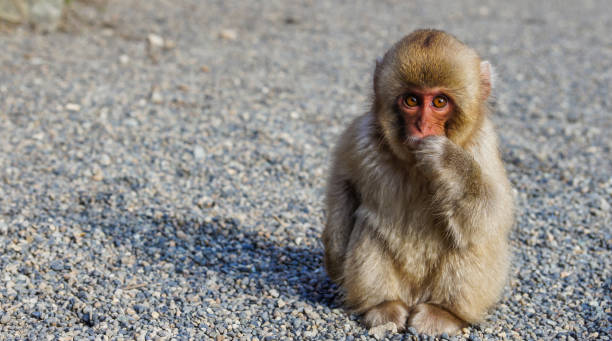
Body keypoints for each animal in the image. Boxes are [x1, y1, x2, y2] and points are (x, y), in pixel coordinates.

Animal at [322, 29, 512, 334]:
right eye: (411, 101)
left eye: (439, 102)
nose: (421, 127)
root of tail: (414, 297)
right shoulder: (360, 137)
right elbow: (344, 184)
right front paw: (335, 257)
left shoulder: (483, 145)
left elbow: (492, 214)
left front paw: (447, 161)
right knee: (369, 227)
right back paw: (383, 306)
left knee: (469, 237)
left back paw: (445, 312)